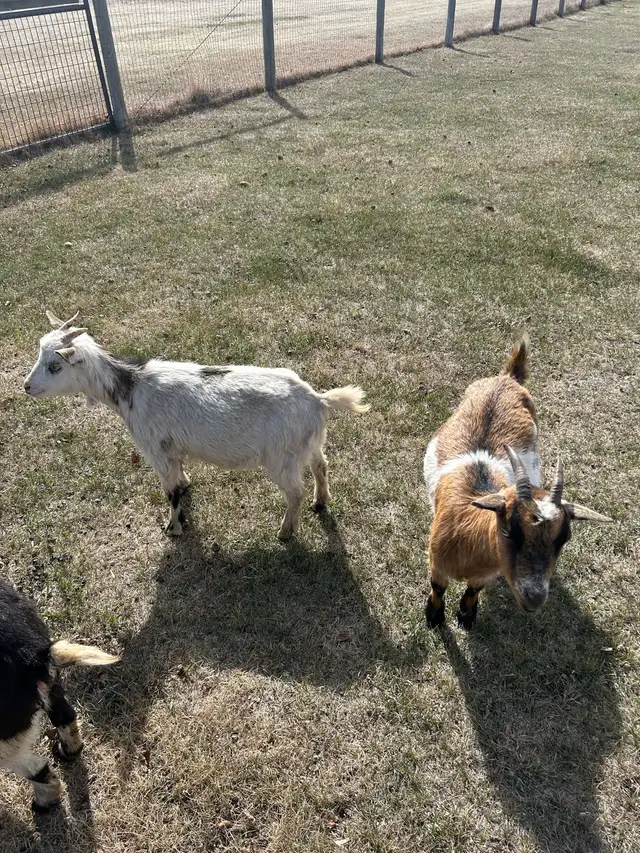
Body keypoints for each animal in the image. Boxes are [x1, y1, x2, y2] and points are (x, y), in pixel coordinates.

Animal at [0, 580, 118, 811]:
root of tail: (35, 656)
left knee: (37, 769)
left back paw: (41, 806)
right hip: (52, 685)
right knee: (66, 717)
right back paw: (66, 753)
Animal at [24, 311, 369, 540]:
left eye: (54, 366)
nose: (27, 386)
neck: (131, 389)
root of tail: (317, 399)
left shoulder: (157, 451)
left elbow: (171, 491)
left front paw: (174, 528)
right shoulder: (172, 450)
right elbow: (180, 481)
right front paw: (186, 486)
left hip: (281, 457)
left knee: (295, 491)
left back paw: (285, 532)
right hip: (310, 444)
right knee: (321, 466)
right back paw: (320, 502)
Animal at [423, 337, 612, 629]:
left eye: (564, 538)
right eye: (510, 531)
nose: (535, 598)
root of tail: (508, 378)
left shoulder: (486, 573)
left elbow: (473, 589)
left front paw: (466, 616)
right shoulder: (437, 562)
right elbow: (438, 588)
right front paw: (433, 617)